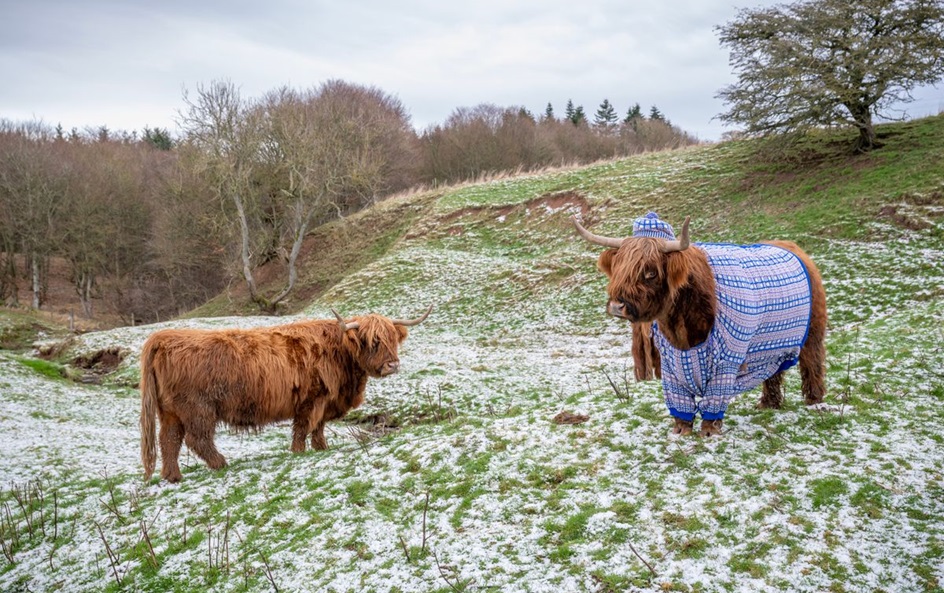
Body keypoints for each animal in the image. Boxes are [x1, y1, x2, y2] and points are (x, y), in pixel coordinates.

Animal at [568, 213, 824, 434]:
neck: (682, 328)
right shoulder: (671, 363)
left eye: (650, 272)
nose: (616, 306)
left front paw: (709, 431)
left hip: (812, 332)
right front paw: (681, 430)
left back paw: (814, 400)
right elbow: (678, 399)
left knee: (812, 362)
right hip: (771, 346)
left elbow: (714, 397)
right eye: (619, 267)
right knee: (773, 372)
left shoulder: (726, 361)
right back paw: (769, 403)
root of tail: (793, 247)